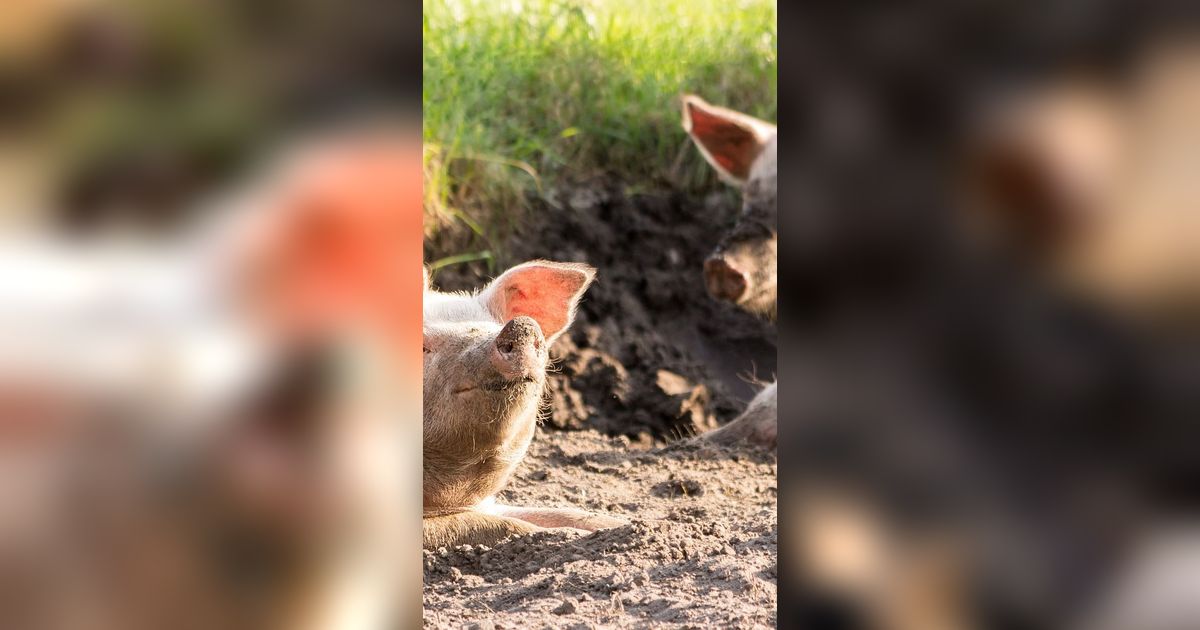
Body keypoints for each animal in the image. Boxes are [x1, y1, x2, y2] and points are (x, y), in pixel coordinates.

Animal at [422, 260, 628, 544]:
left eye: (491, 326)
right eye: (422, 346)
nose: (521, 326)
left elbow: (565, 513)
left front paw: (633, 524)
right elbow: (495, 525)